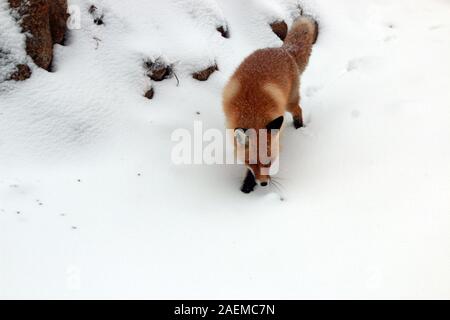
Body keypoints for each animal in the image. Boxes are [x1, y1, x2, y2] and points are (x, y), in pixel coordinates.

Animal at [223, 15, 318, 192]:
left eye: (269, 162)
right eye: (252, 163)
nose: (263, 184)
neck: (252, 111)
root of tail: (283, 50)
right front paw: (247, 184)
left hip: (289, 103)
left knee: (298, 110)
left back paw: (299, 126)